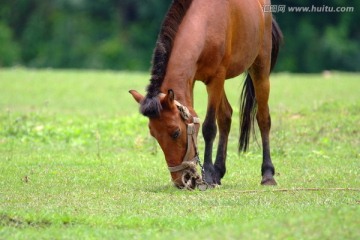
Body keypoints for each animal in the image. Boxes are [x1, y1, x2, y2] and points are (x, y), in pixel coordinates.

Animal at [129, 0, 282, 189]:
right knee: (226, 116)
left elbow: (209, 127)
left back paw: (267, 174)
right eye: (154, 134)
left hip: (260, 67)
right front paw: (208, 174)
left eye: (176, 132)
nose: (180, 180)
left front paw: (207, 174)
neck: (205, 21)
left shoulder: (216, 78)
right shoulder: (193, 80)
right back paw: (219, 171)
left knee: (263, 119)